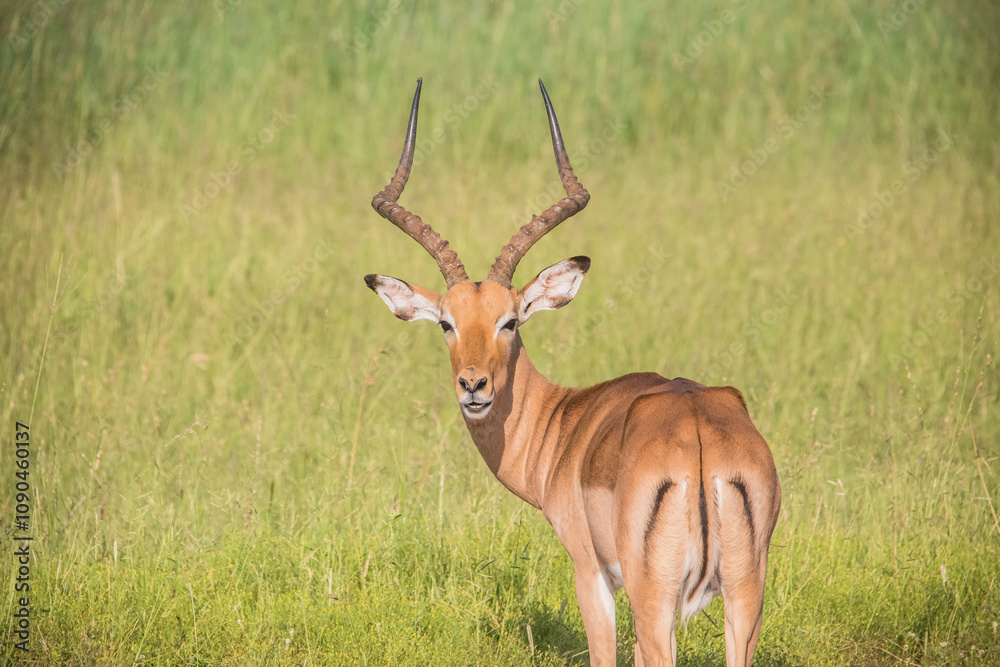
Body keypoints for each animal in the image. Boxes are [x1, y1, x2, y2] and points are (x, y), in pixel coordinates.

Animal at [364, 78, 781, 667]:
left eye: (509, 321)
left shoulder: (592, 573)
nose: (473, 386)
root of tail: (700, 436)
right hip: (746, 597)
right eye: (447, 322)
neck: (563, 426)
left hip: (655, 600)